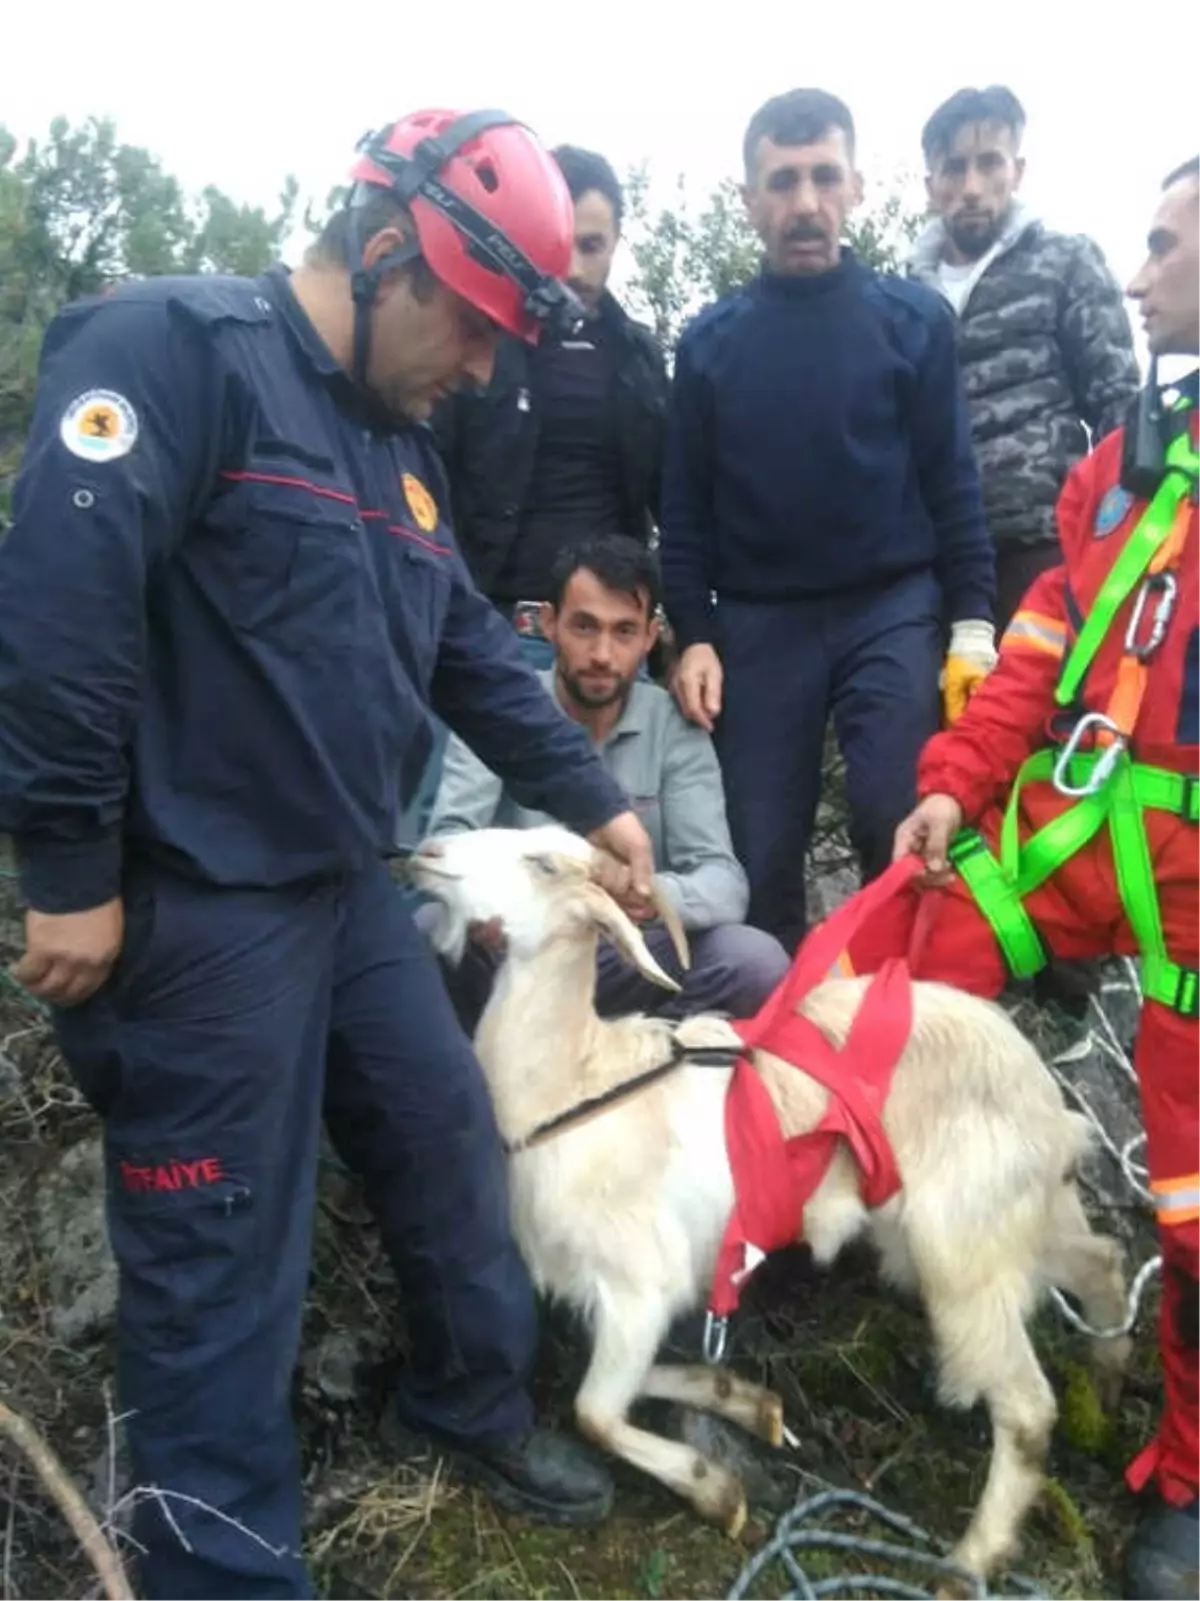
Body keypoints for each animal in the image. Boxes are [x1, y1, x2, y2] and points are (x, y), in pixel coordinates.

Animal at [409, 826, 1132, 1588]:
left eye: (542, 862)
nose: (426, 852)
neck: (576, 1088)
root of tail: (1047, 1097)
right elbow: (627, 1381)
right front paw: (744, 1402)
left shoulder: (641, 1284)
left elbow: (595, 1412)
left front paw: (715, 1490)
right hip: (1010, 1215)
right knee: (1101, 1260)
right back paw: (1107, 1384)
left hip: (962, 1248)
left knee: (1025, 1409)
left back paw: (967, 1562)